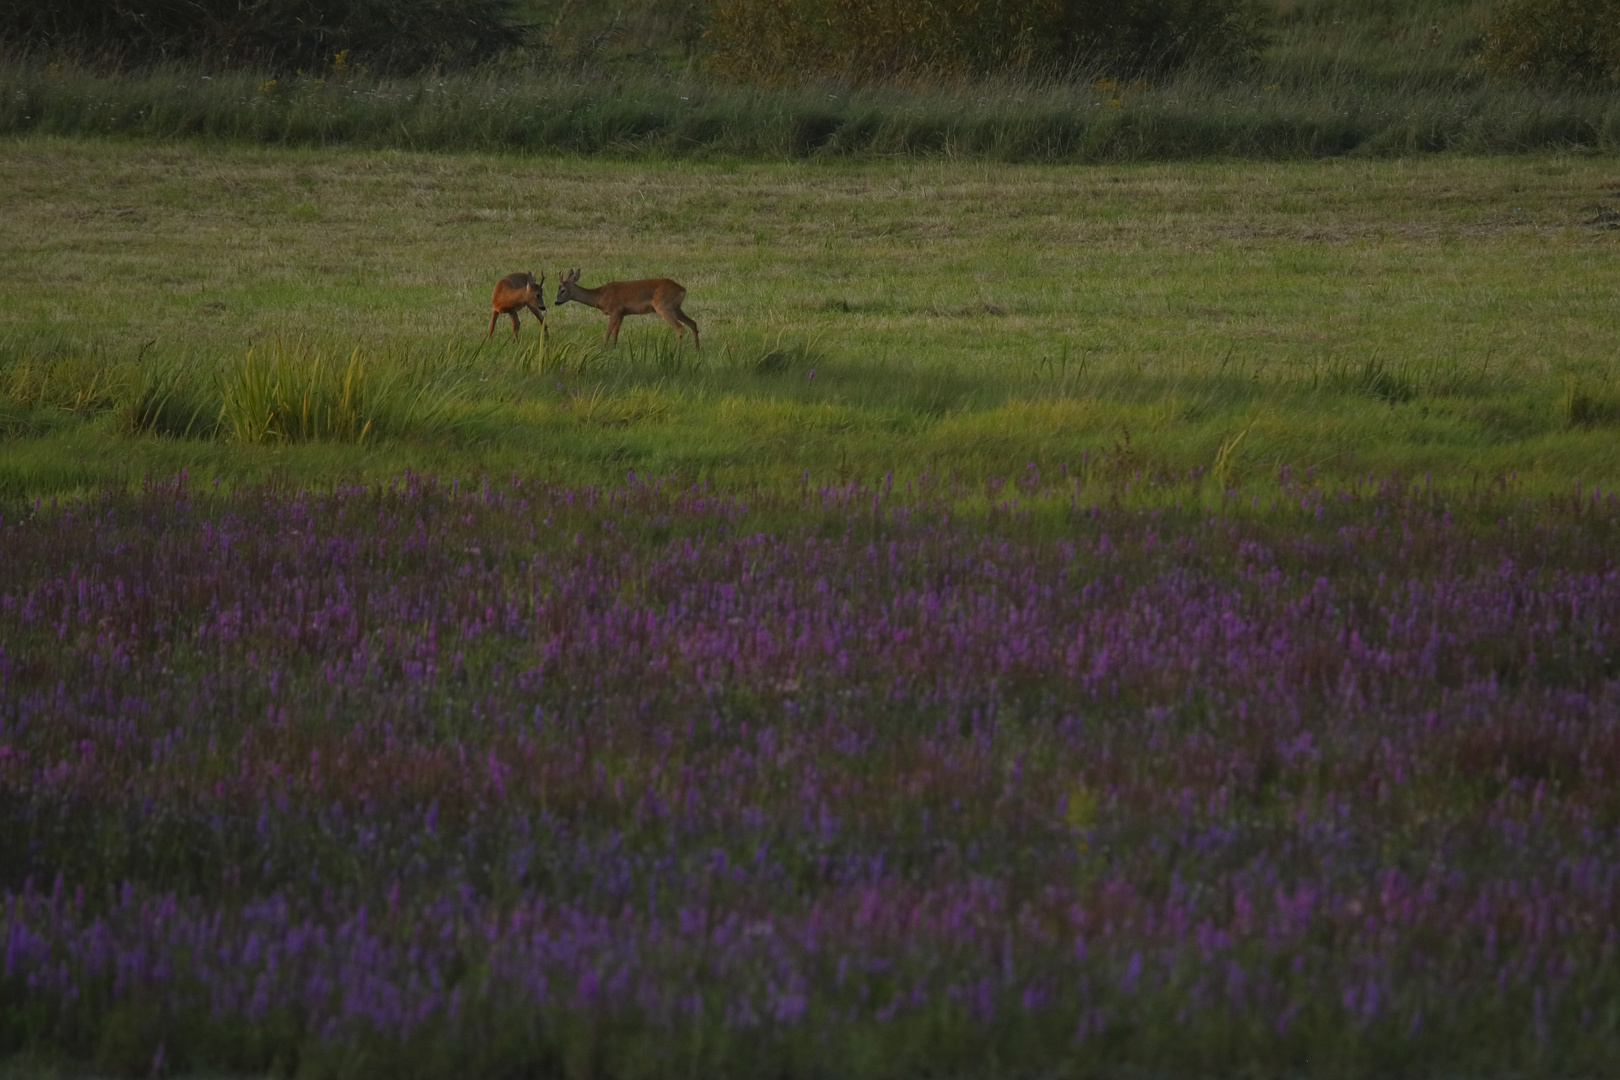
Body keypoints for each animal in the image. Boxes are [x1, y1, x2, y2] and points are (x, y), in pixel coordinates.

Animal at [554, 270, 699, 351]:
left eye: (562, 290)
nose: (556, 302)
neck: (599, 296)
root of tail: (682, 289)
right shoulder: (622, 313)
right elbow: (616, 333)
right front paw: (613, 348)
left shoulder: (615, 309)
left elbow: (608, 332)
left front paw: (603, 348)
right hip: (676, 308)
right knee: (693, 323)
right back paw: (698, 349)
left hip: (664, 306)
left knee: (680, 327)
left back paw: (678, 351)